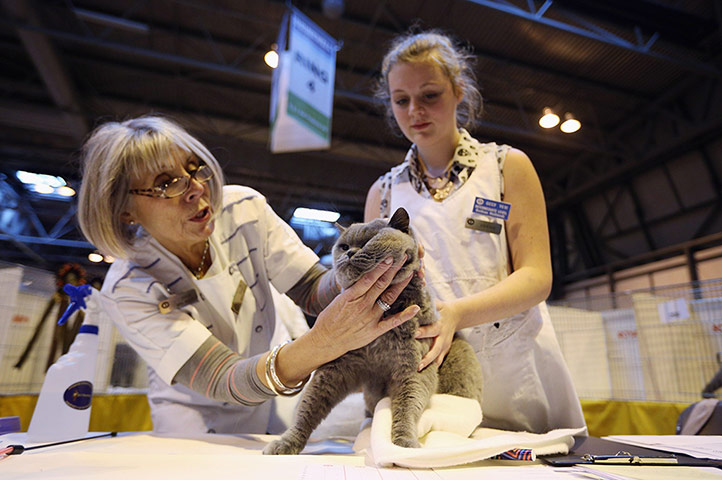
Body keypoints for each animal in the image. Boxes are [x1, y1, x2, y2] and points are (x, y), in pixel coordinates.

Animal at [262, 208, 480, 456]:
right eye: (344, 246)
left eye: (368, 241)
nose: (349, 253)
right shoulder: (337, 366)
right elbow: (308, 406)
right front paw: (286, 442)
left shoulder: (414, 366)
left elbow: (408, 403)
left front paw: (403, 443)